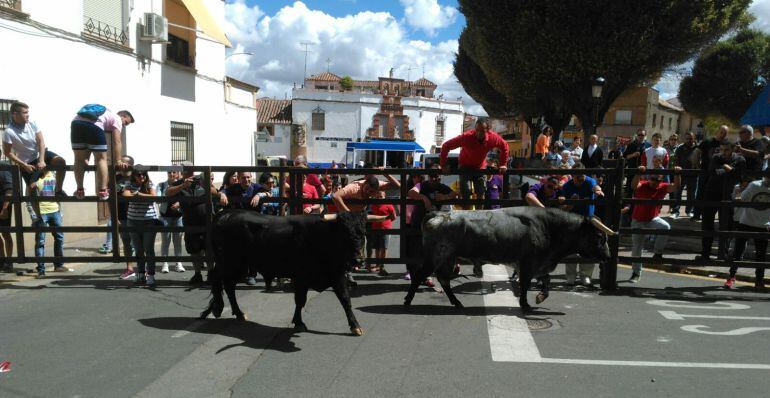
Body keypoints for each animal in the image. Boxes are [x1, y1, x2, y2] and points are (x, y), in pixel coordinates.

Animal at [198, 208, 384, 336]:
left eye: (363, 232)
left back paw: (237, 313)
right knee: (217, 278)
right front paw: (299, 322)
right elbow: (300, 300)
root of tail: (226, 213)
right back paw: (217, 308)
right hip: (229, 263)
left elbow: (346, 300)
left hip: (240, 266)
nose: (358, 260)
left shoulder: (336, 276)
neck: (322, 238)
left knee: (228, 285)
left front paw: (355, 326)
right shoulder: (301, 277)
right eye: (344, 233)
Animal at [404, 207, 616, 312]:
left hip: (448, 258)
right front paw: (526, 304)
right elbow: (525, 284)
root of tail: (438, 213)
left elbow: (546, 281)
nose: (607, 257)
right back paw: (407, 301)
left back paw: (456, 302)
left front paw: (540, 297)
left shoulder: (538, 265)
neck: (549, 226)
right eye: (599, 236)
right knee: (420, 276)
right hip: (437, 256)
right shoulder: (528, 264)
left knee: (444, 280)